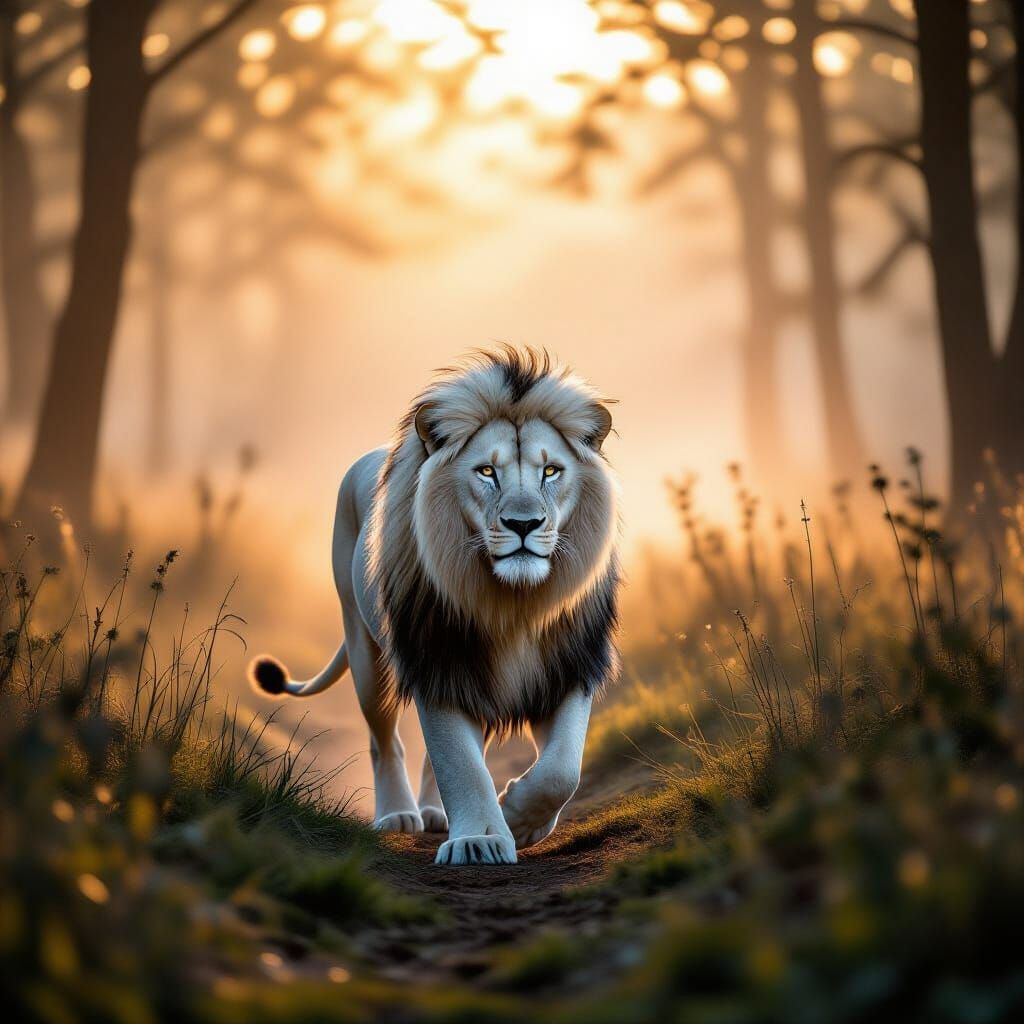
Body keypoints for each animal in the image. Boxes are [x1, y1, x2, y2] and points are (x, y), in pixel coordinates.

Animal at [250, 347, 620, 865]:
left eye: (551, 471)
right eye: (486, 472)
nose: (523, 524)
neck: (514, 606)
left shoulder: (569, 664)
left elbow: (561, 770)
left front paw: (518, 819)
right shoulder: (436, 656)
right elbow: (458, 761)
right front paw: (480, 841)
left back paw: (436, 813)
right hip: (366, 651)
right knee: (385, 741)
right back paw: (398, 816)